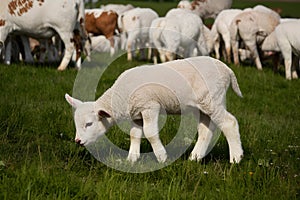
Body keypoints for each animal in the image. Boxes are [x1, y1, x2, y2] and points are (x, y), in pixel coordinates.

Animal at [65, 55, 244, 163]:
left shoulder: (150, 106)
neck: (119, 97)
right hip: (203, 105)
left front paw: (162, 157)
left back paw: (236, 158)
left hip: (213, 99)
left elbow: (150, 133)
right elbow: (134, 135)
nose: (78, 141)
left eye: (89, 124)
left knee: (230, 123)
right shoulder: (136, 113)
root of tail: (227, 69)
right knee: (206, 130)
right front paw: (132, 159)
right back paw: (195, 157)